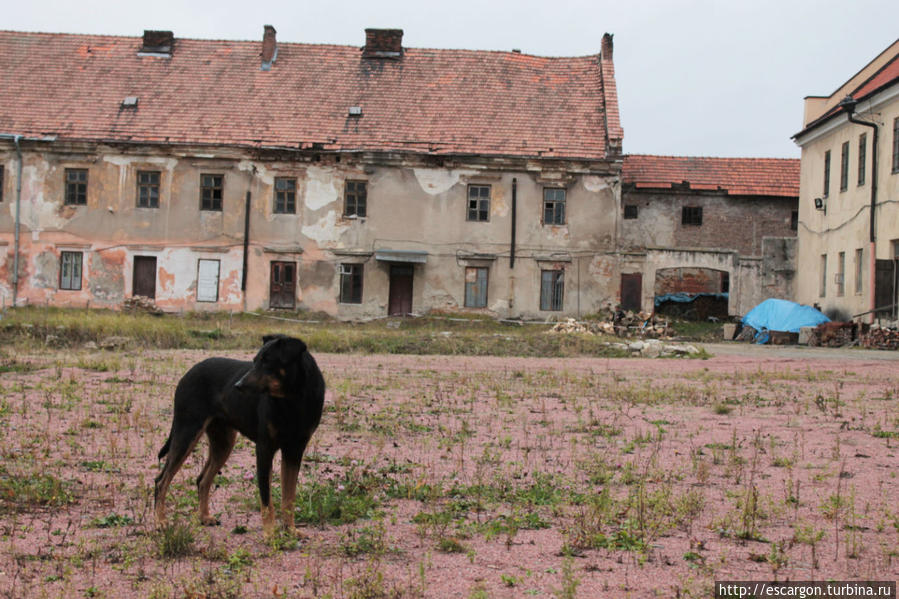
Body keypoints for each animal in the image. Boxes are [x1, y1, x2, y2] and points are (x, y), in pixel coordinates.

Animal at [156, 336, 326, 536]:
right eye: (255, 360)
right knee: (161, 481)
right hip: (187, 432)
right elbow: (266, 500)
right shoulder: (264, 448)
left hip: (223, 442)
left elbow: (288, 498)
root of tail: (188, 373)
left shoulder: (294, 450)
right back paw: (160, 522)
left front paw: (290, 530)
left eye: (267, 361)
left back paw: (204, 517)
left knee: (202, 480)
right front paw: (270, 534)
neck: (293, 400)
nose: (237, 385)